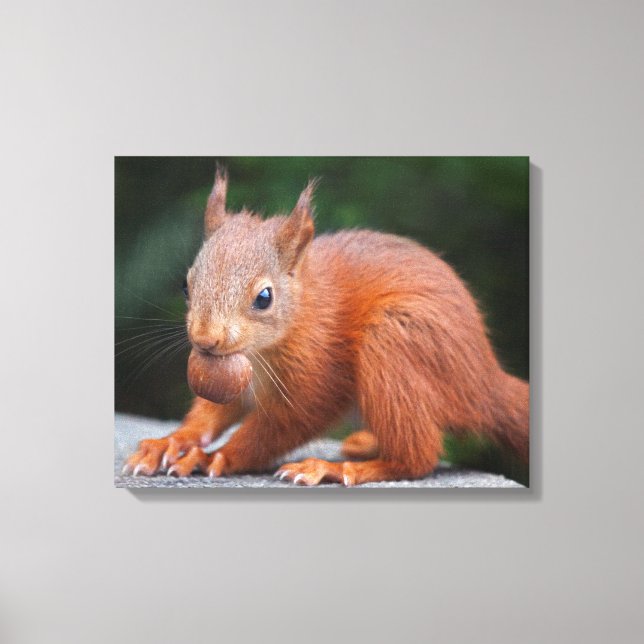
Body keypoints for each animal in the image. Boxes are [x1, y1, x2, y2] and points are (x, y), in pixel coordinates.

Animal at [123, 169, 529, 486]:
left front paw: (214, 458)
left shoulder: (319, 370)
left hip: (395, 343)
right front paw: (172, 442)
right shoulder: (236, 381)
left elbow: (287, 423)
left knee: (417, 456)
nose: (206, 340)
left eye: (264, 297)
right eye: (185, 285)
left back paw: (337, 468)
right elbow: (211, 414)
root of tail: (484, 382)